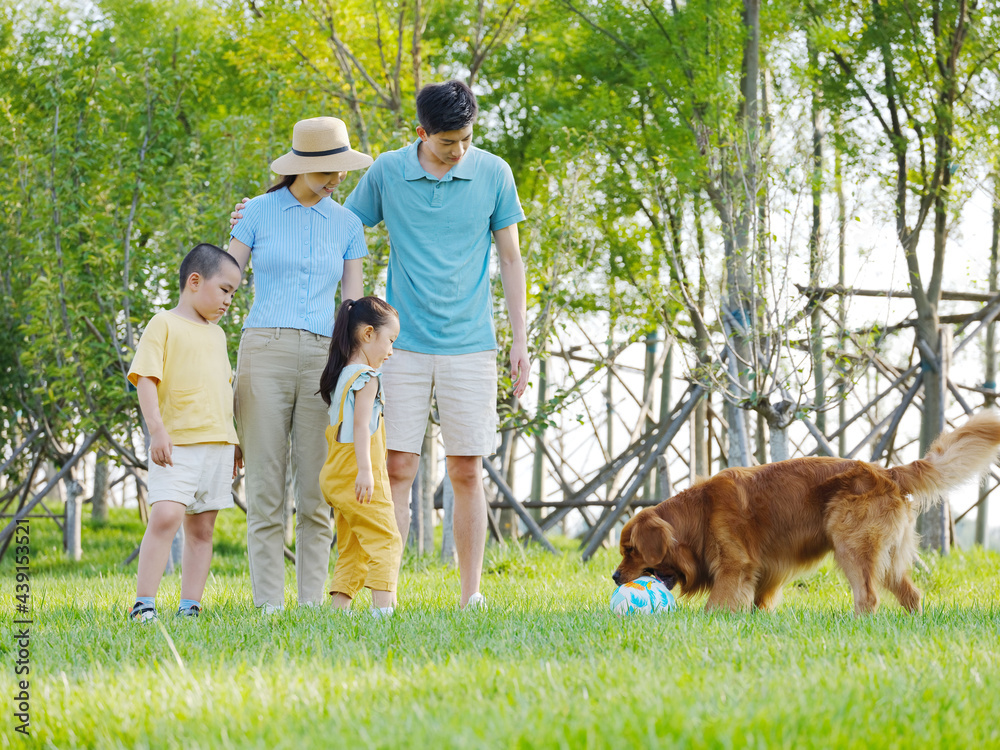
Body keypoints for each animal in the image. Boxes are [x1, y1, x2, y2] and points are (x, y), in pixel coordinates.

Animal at [612, 412, 1000, 616]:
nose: (615, 577)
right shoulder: (762, 572)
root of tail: (885, 471)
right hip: (888, 558)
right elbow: (758, 601)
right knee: (911, 594)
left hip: (851, 546)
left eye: (631, 550)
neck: (700, 512)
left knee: (868, 597)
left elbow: (717, 603)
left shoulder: (735, 566)